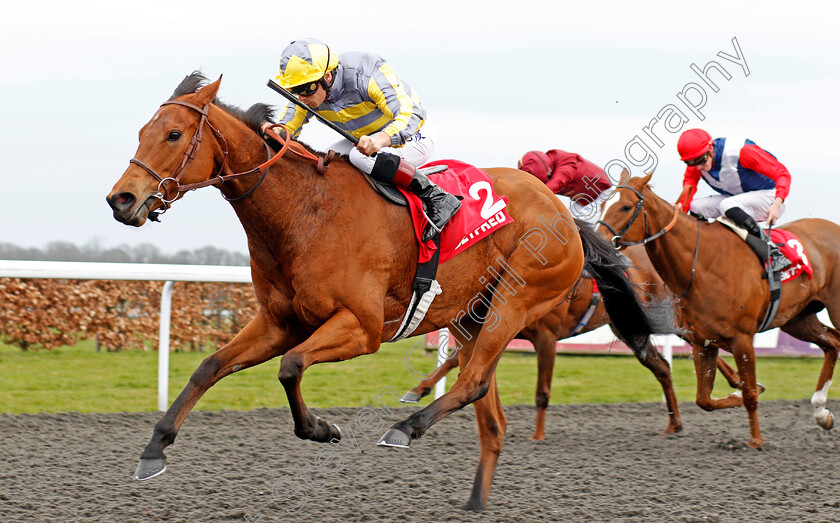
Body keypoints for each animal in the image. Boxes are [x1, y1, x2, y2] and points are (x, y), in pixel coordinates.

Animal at [106, 74, 668, 512]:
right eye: (141, 132)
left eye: (174, 134)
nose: (122, 199)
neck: (303, 213)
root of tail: (564, 214)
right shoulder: (279, 321)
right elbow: (210, 367)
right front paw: (154, 451)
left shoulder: (362, 327)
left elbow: (290, 366)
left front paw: (322, 429)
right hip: (471, 315)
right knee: (490, 413)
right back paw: (474, 501)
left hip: (515, 301)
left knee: (472, 384)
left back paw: (405, 427)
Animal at [600, 175, 836, 450]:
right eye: (603, 204)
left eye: (626, 207)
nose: (597, 240)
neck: (702, 264)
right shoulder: (703, 341)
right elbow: (705, 400)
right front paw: (739, 392)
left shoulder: (743, 339)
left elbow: (749, 393)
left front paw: (755, 440)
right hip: (797, 319)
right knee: (833, 343)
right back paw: (821, 412)